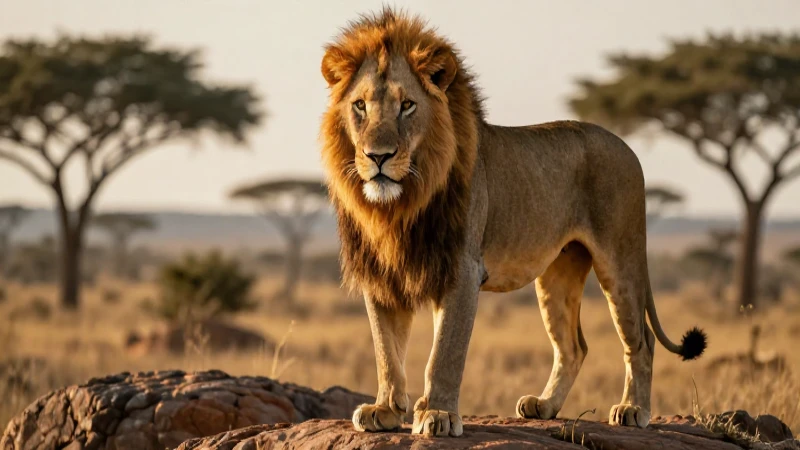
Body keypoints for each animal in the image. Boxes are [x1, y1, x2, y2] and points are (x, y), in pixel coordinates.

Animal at [318, 8, 707, 437]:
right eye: (360, 106)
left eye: (407, 105)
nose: (378, 156)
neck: (398, 208)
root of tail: (628, 147)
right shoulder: (382, 275)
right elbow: (386, 350)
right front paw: (385, 409)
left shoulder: (462, 269)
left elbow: (445, 353)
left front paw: (438, 414)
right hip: (558, 273)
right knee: (573, 346)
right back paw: (544, 406)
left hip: (621, 260)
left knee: (641, 341)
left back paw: (632, 409)